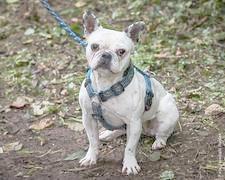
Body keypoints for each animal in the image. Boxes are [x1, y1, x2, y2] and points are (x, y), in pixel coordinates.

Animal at [78, 10, 178, 174]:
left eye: (121, 51)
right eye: (94, 46)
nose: (106, 54)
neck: (106, 84)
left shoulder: (134, 122)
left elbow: (130, 148)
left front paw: (130, 164)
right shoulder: (88, 117)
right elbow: (92, 140)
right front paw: (91, 157)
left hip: (167, 114)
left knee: (163, 133)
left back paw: (159, 142)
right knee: (120, 130)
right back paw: (108, 134)